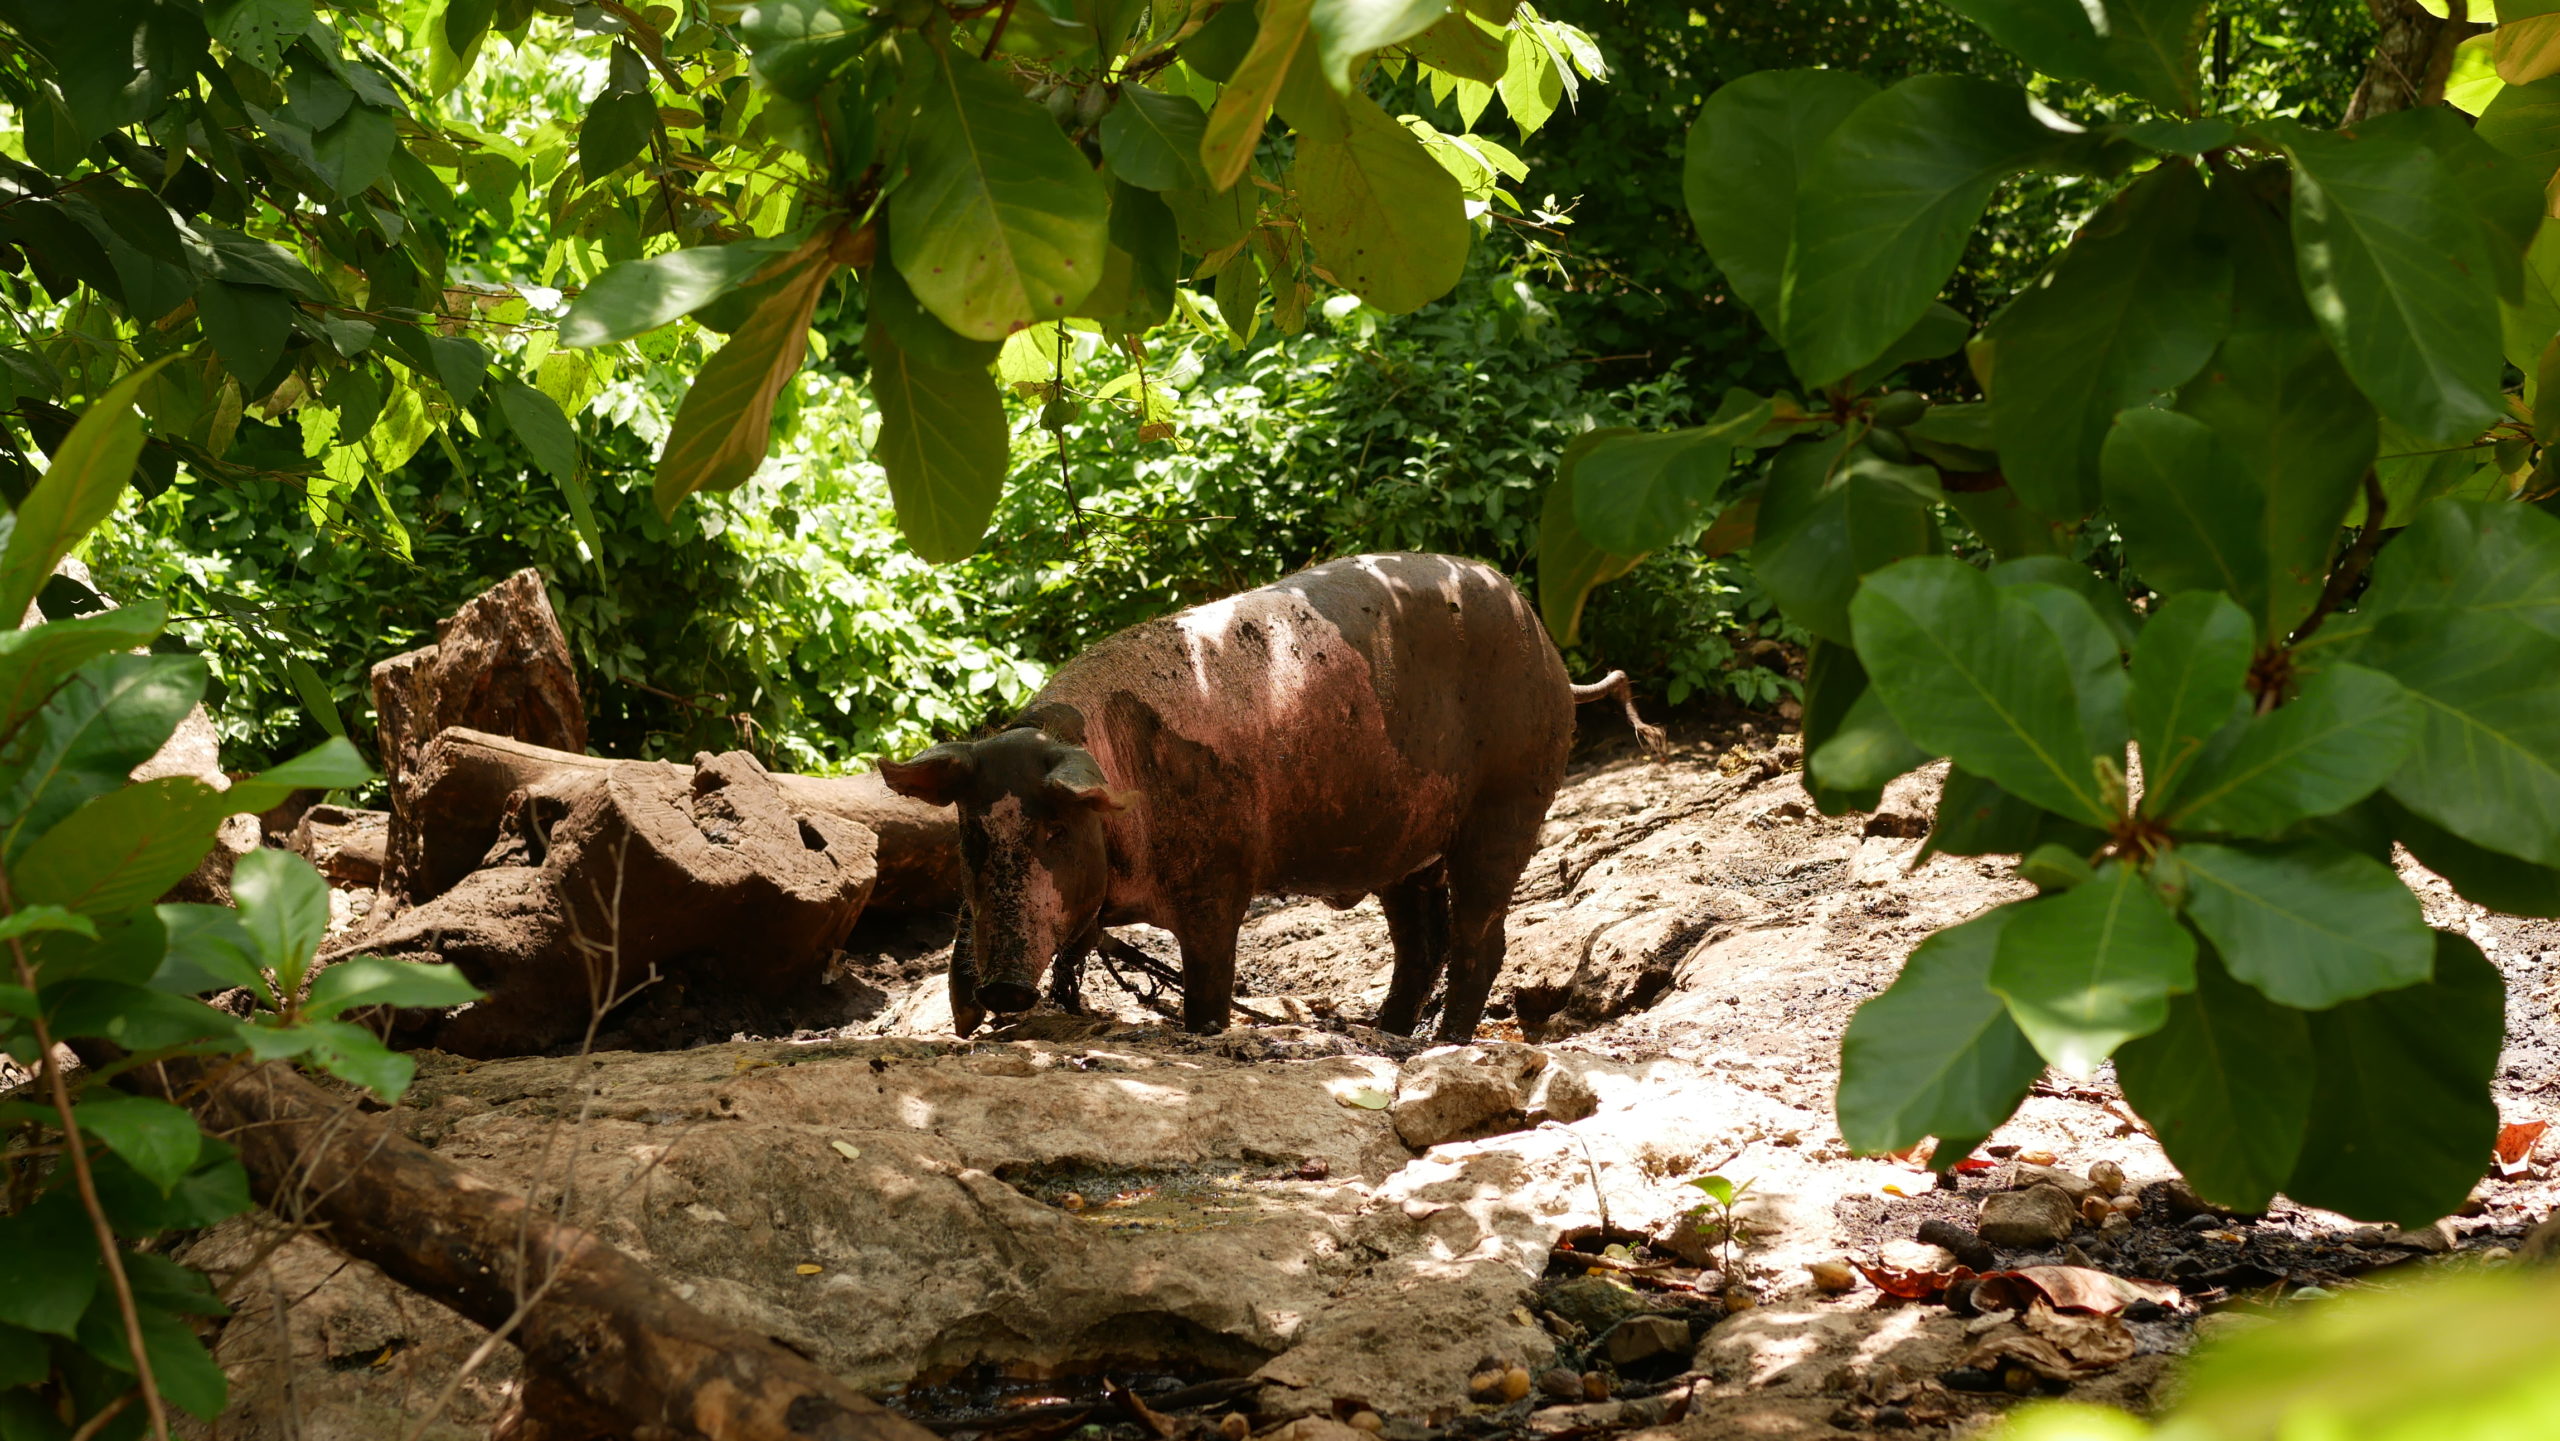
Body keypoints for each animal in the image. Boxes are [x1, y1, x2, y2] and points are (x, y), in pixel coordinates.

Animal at [880, 550, 1658, 1039]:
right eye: (972, 838)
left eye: (1052, 833)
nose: (999, 989)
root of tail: (1552, 657)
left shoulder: (1219, 877)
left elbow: (1209, 982)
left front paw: (1204, 1030)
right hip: (1404, 848)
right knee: (1421, 941)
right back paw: (1387, 1030)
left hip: (1510, 802)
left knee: (1481, 936)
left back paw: (1445, 1040)